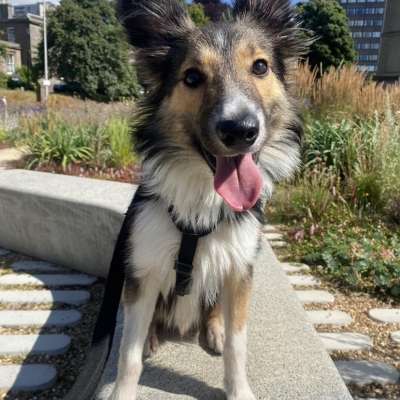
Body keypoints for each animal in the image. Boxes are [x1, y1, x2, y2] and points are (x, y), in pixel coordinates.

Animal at [108, 0, 304, 400]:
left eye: (260, 66)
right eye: (193, 76)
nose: (240, 130)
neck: (202, 199)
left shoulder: (239, 269)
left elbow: (237, 344)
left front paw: (238, 390)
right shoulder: (143, 270)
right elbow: (128, 352)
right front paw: (122, 390)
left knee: (215, 313)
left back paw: (213, 329)